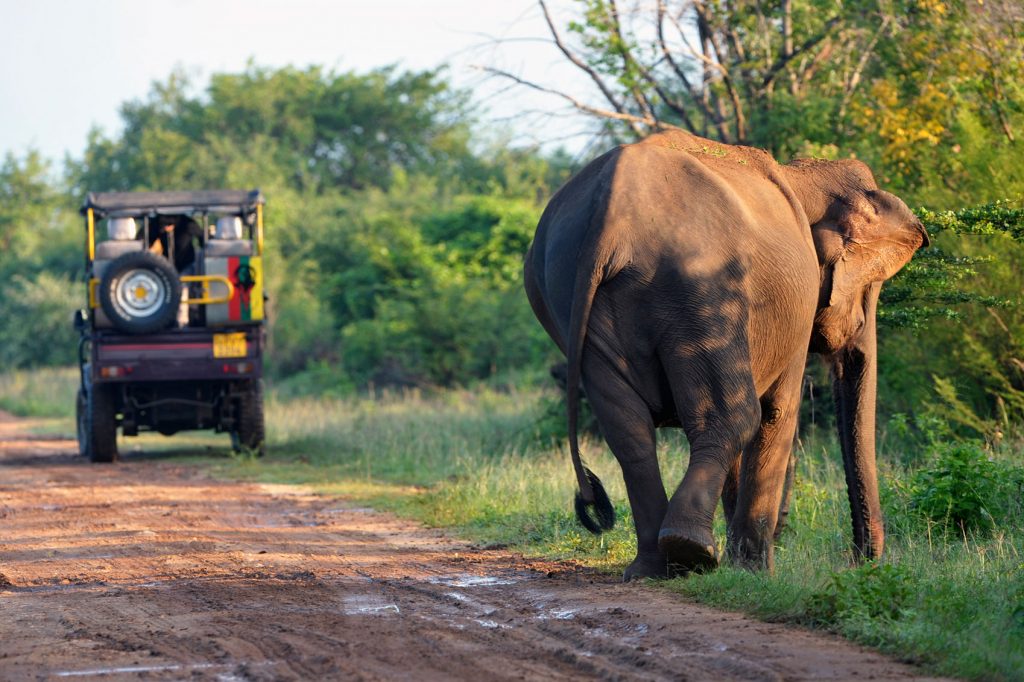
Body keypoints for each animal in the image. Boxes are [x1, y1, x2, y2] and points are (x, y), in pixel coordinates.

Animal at [523, 130, 928, 579]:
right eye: (871, 286)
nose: (858, 561)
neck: (802, 174)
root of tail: (609, 215)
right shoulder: (796, 306)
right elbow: (777, 413)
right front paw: (756, 574)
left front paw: (740, 570)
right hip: (699, 284)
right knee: (736, 416)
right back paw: (690, 551)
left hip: (567, 293)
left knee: (630, 431)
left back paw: (654, 568)